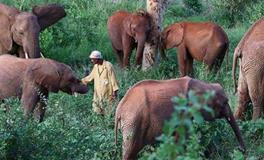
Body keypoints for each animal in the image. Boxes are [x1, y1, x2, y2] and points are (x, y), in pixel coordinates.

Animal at [115, 76, 245, 160]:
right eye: (225, 102)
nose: (241, 151)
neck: (204, 85)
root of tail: (119, 109)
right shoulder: (184, 111)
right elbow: (182, 137)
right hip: (133, 122)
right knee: (130, 150)